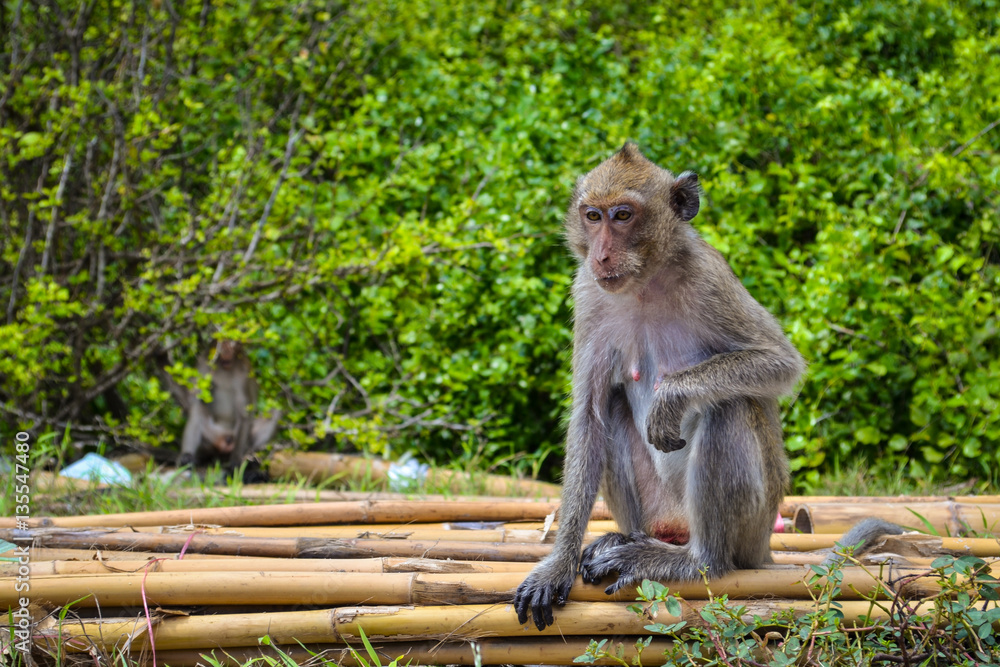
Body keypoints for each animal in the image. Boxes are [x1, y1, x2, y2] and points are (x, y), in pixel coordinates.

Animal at [513, 143, 807, 631]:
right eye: (593, 216)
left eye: (623, 215)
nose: (601, 255)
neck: (645, 281)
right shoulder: (588, 292)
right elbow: (590, 415)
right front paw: (557, 565)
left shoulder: (710, 279)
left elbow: (779, 362)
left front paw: (671, 396)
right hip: (660, 511)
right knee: (613, 406)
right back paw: (627, 538)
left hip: (753, 524)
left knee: (728, 407)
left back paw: (696, 560)